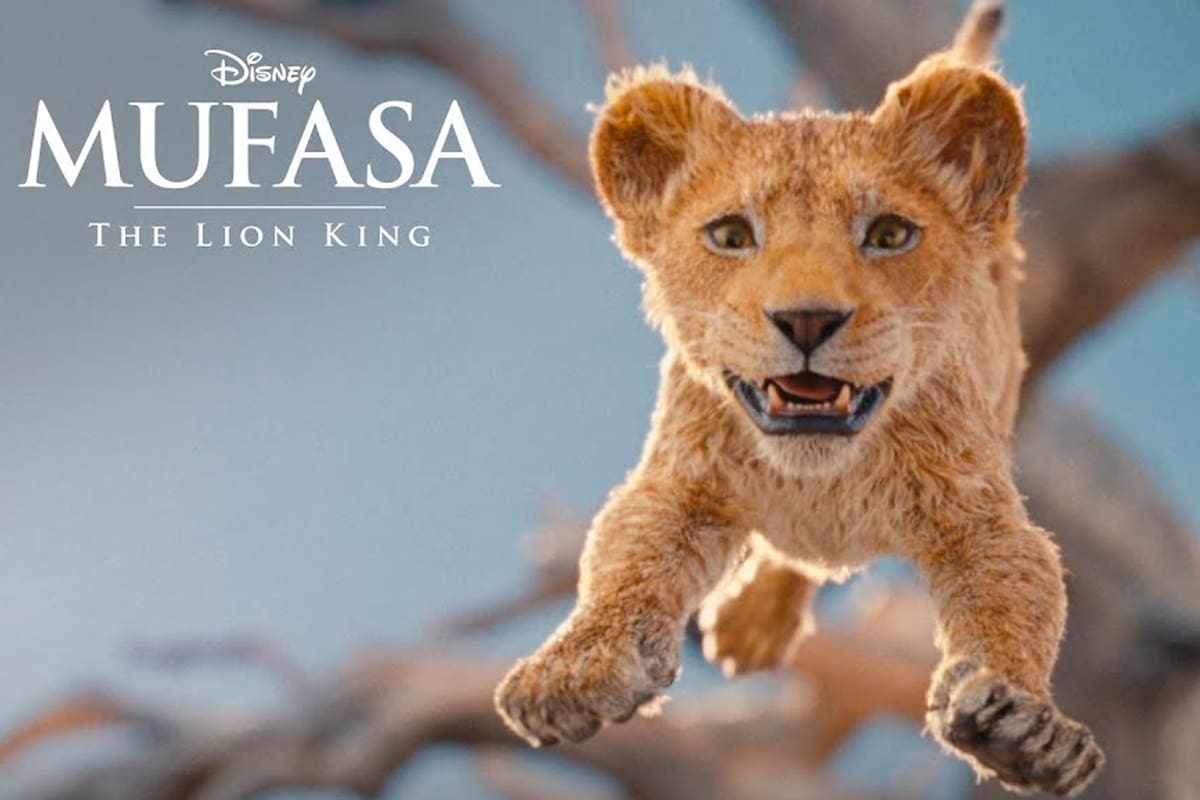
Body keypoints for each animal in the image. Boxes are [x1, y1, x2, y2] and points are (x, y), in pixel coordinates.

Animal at [495, 5, 1103, 795]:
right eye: (731, 234)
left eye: (888, 234)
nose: (807, 320)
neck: (823, 477)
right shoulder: (679, 482)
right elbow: (624, 562)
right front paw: (571, 672)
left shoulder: (979, 514)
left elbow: (1016, 599)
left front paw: (1023, 728)